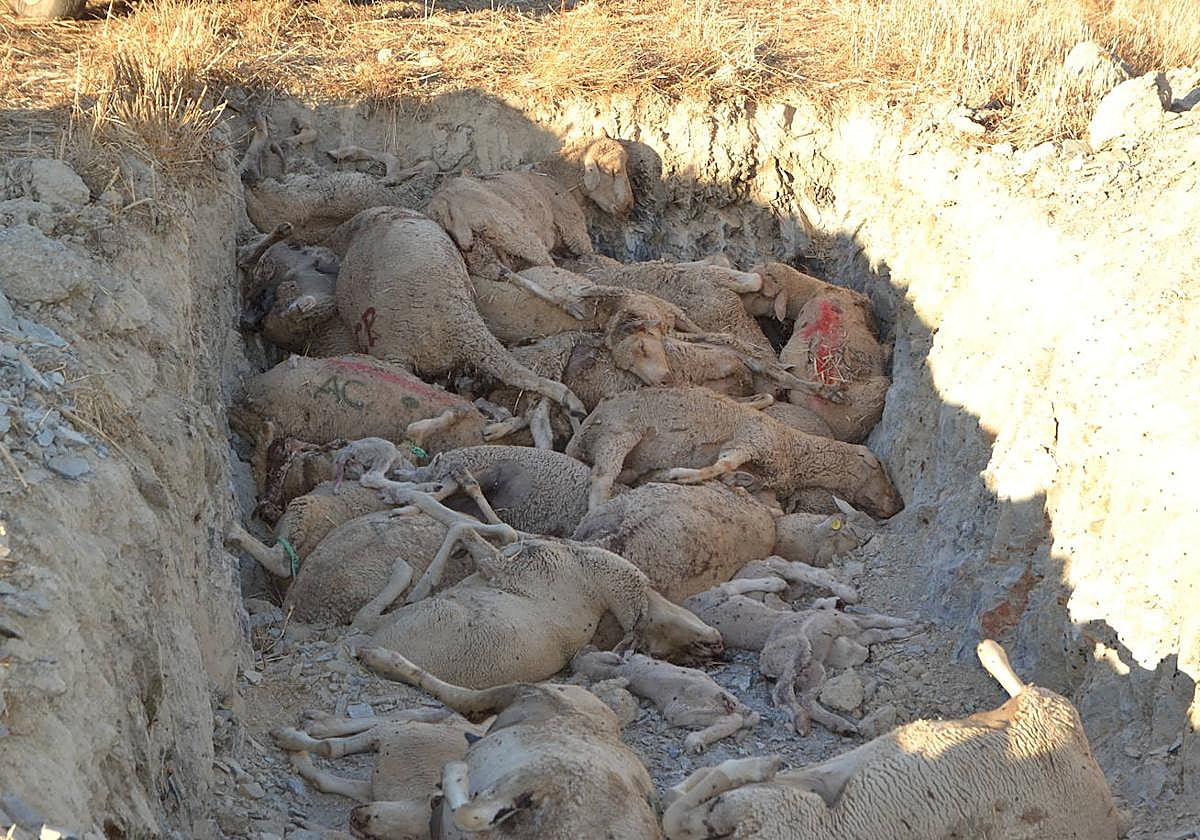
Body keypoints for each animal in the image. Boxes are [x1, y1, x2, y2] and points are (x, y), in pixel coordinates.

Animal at [271, 708, 485, 840]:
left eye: (412, 838)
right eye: (434, 801)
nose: (358, 818)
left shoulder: (376, 793)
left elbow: (326, 778)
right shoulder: (395, 736)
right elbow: (332, 747)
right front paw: (289, 739)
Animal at [355, 647, 663, 839]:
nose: (356, 817)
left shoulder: (523, 695)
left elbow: (464, 700)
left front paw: (378, 657)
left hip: (539, 773)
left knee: (471, 811)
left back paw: (457, 774)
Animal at [564, 386, 904, 518]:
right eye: (878, 466)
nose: (897, 504)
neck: (794, 452)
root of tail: (576, 439)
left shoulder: (767, 477)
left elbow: (774, 508)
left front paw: (739, 486)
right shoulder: (751, 440)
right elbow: (719, 465)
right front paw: (679, 476)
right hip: (618, 433)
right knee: (602, 478)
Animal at [683, 577, 916, 735]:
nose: (840, 602)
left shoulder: (856, 633)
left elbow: (877, 632)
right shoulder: (854, 624)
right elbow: (880, 622)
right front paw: (914, 626)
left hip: (813, 669)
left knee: (805, 698)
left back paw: (840, 726)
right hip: (798, 649)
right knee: (782, 692)